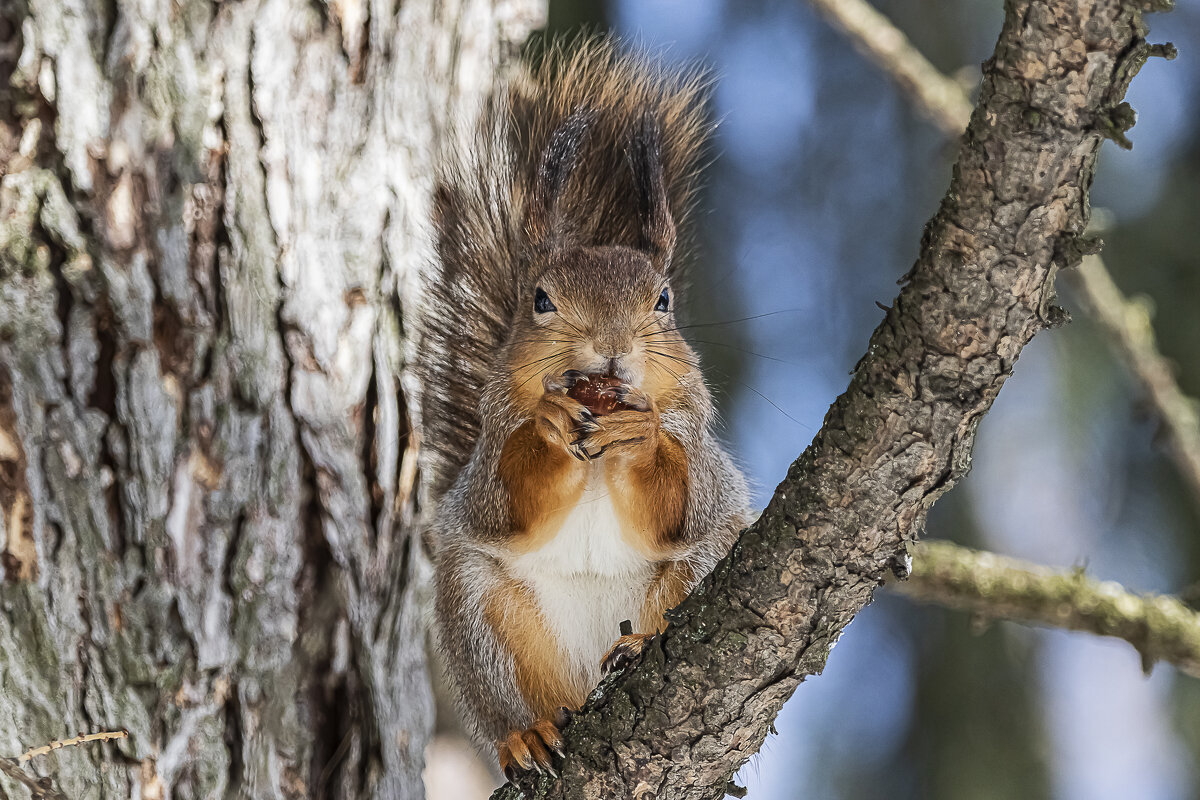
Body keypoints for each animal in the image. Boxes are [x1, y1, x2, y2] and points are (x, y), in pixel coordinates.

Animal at [420, 38, 748, 782]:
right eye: (541, 300)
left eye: (663, 300)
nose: (609, 347)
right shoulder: (491, 451)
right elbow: (506, 502)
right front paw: (548, 428)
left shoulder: (702, 456)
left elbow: (681, 504)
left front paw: (641, 436)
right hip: (477, 614)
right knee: (512, 698)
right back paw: (527, 733)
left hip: (707, 564)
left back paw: (636, 646)